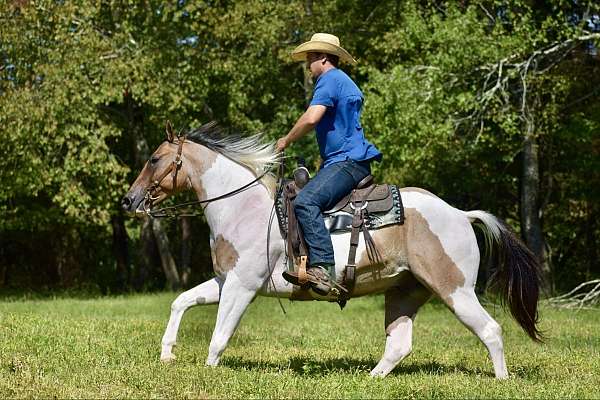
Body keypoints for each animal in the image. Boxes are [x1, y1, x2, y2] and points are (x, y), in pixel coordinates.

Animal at [120, 123, 540, 380]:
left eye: (154, 158)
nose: (129, 200)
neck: (243, 207)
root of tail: (461, 214)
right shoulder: (226, 281)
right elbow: (181, 301)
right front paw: (168, 353)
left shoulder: (242, 286)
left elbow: (219, 336)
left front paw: (208, 371)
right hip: (405, 291)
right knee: (399, 344)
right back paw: (371, 379)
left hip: (455, 290)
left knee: (490, 330)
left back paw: (501, 380)